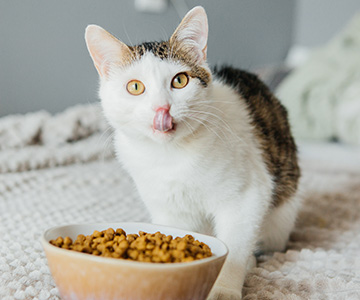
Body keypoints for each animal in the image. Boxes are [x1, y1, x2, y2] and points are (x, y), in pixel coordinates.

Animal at [85, 5, 300, 298]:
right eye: (135, 87)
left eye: (180, 81)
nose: (162, 108)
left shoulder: (249, 193)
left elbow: (236, 244)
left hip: (281, 216)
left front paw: (224, 288)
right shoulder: (168, 210)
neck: (171, 156)